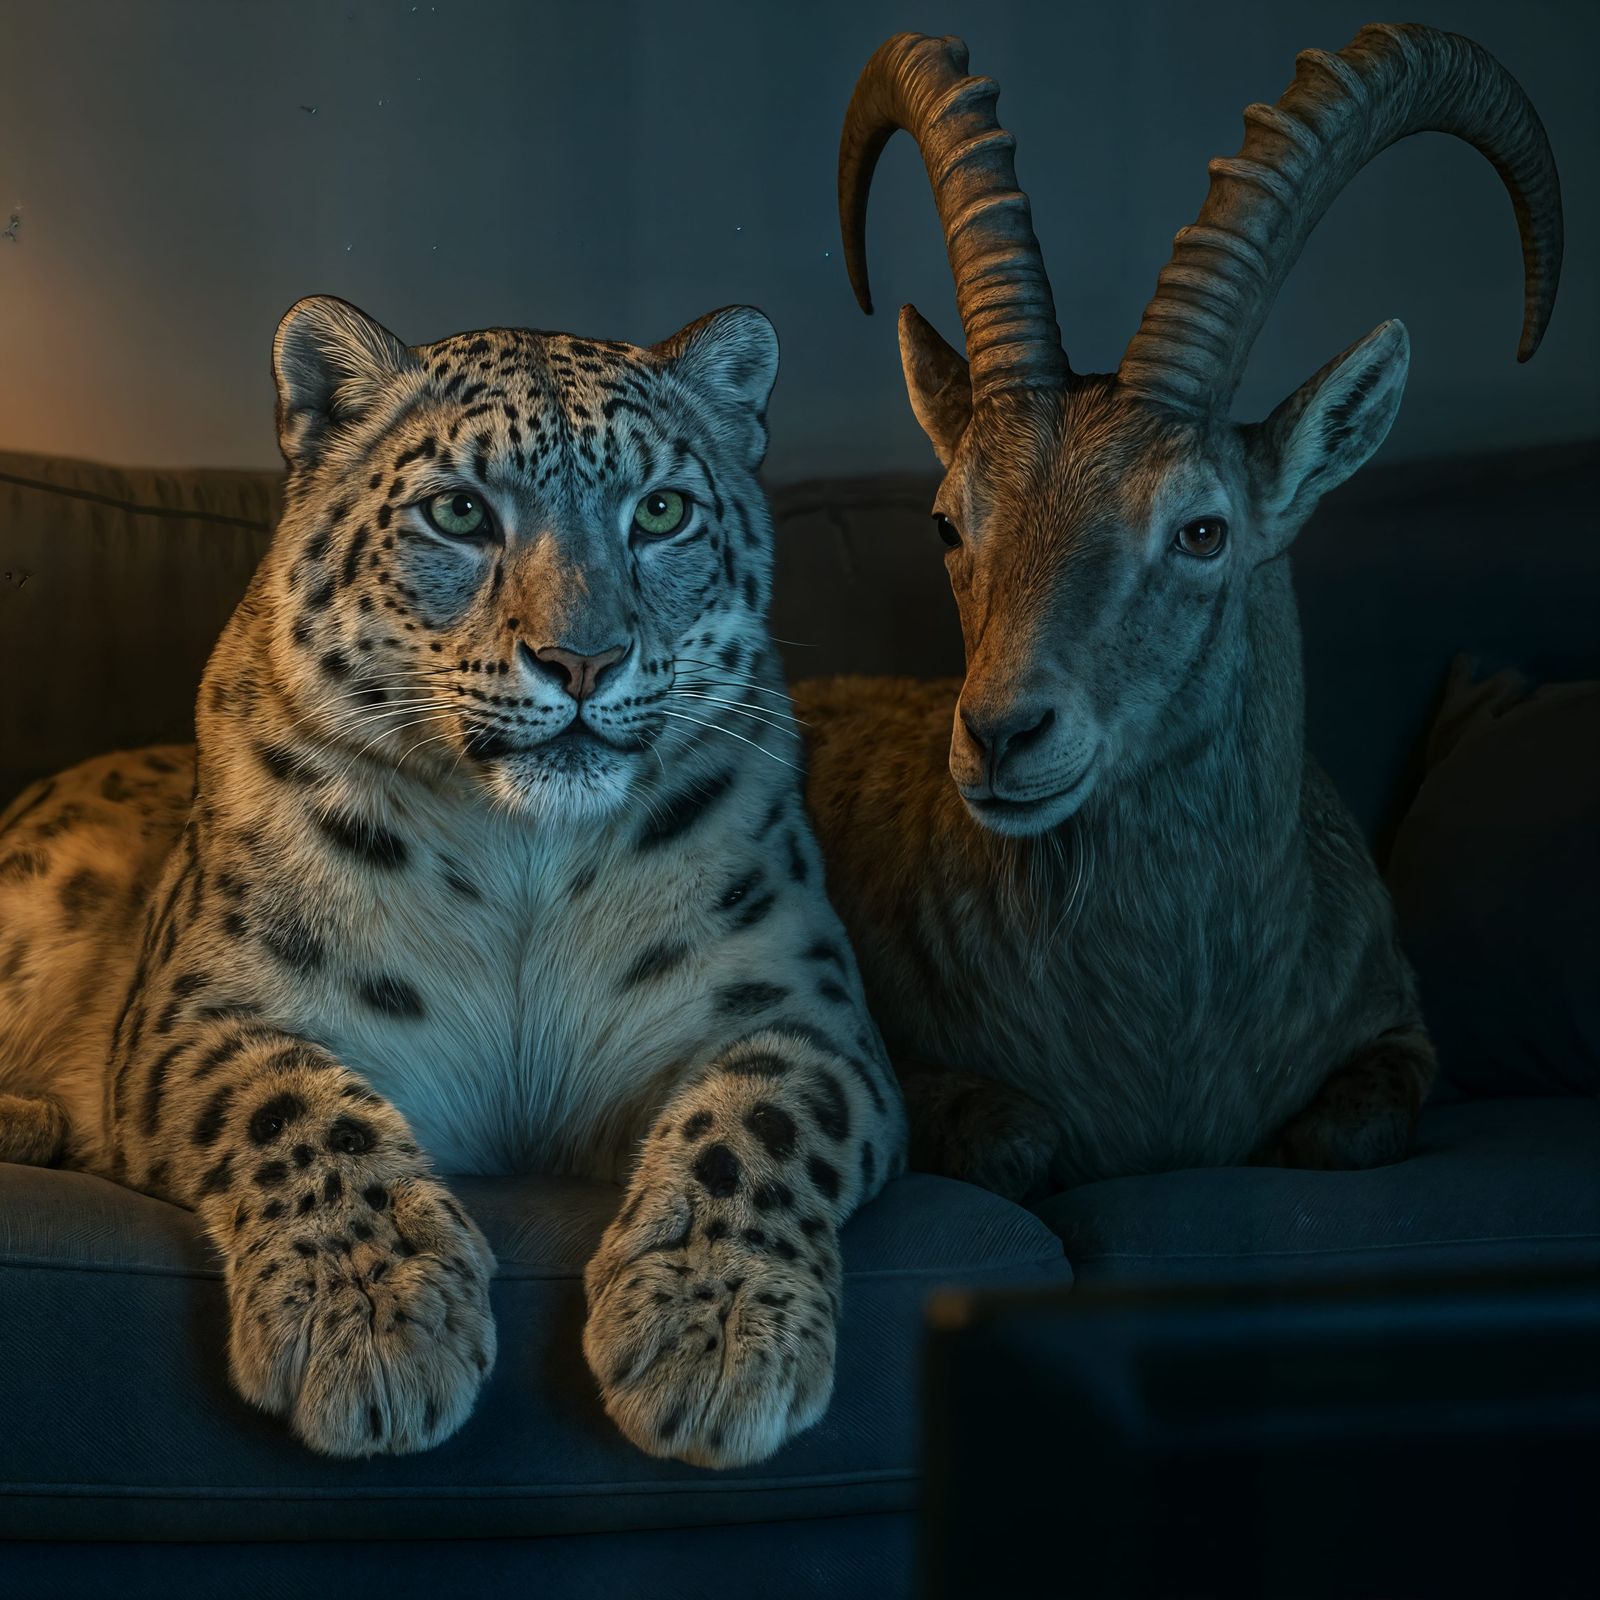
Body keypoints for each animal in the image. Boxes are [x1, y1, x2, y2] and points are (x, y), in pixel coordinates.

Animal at [0, 294, 907, 1468]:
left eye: (661, 511)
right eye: (460, 512)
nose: (582, 659)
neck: (523, 860)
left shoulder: (809, 1014)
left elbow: (762, 1119)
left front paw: (715, 1331)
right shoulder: (199, 1013)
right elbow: (294, 1107)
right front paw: (375, 1325)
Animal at [795, 24, 1562, 1197]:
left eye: (1203, 530)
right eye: (947, 521)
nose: (1002, 736)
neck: (1172, 1037)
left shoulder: (1397, 1032)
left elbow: (1349, 1132)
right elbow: (1020, 1141)